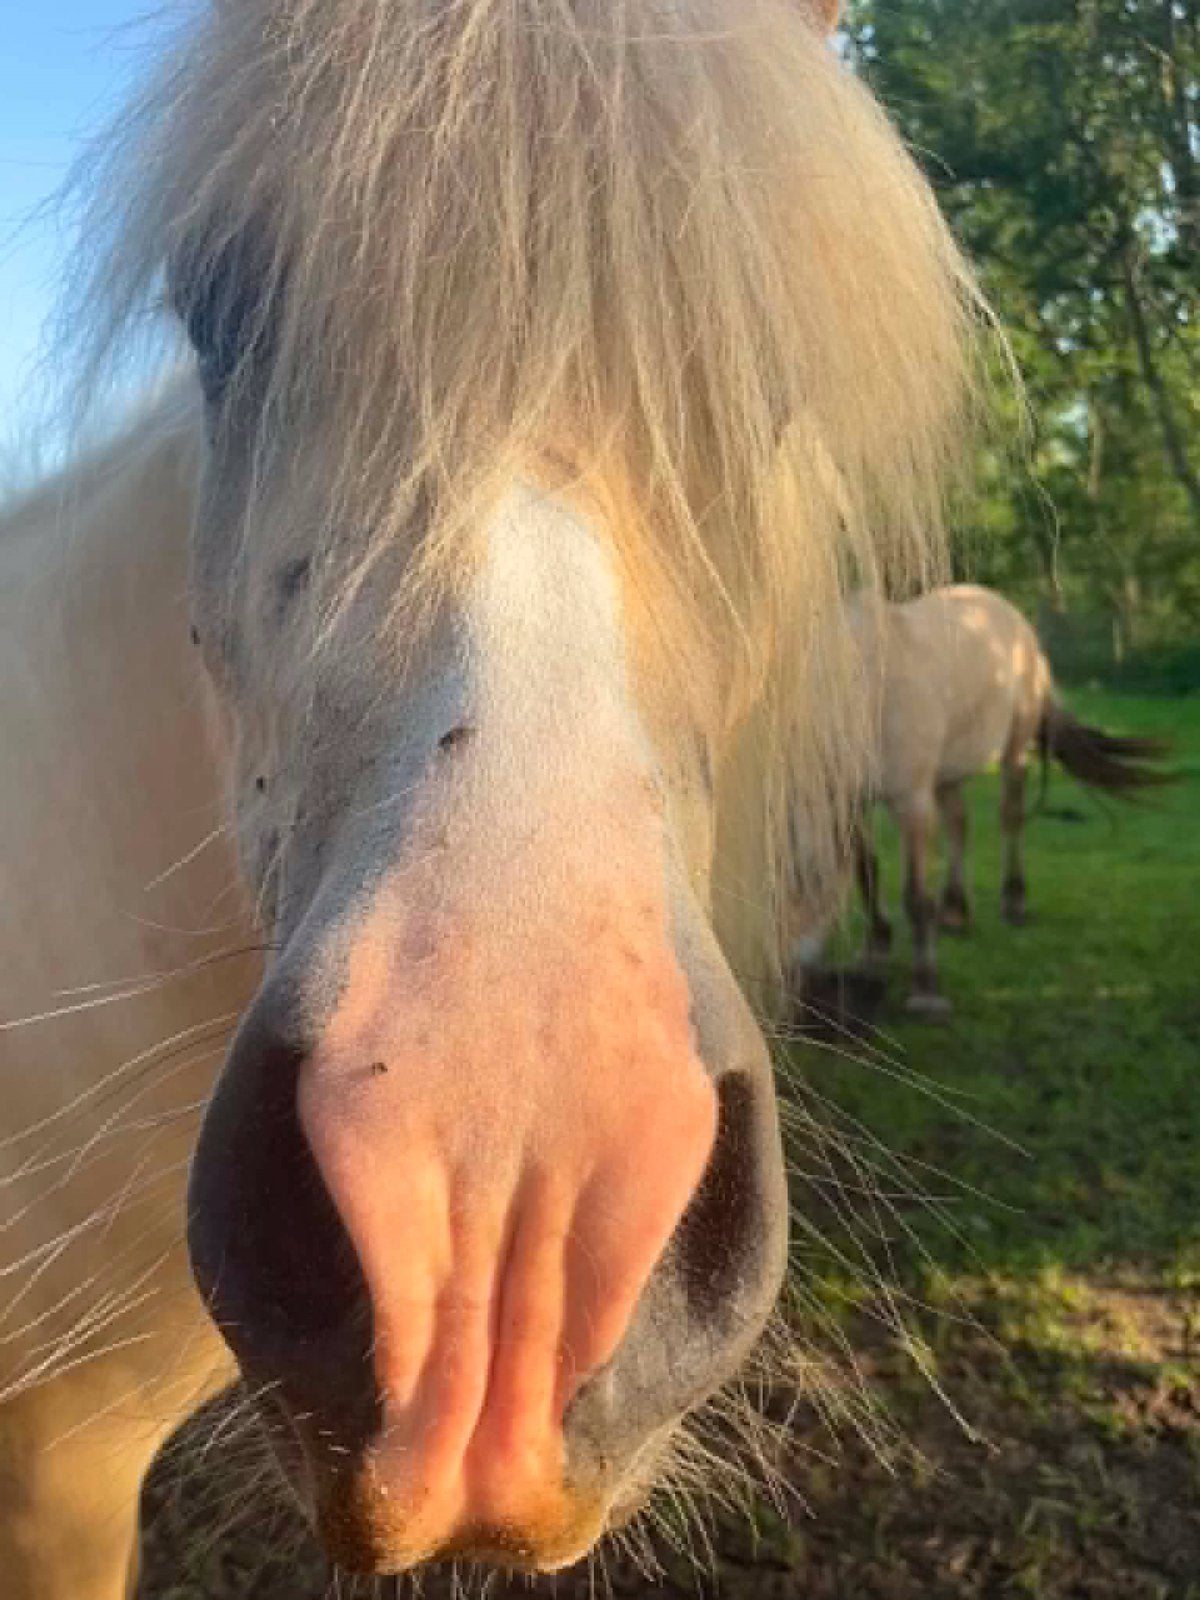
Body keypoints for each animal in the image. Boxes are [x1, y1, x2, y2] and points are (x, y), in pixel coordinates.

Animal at [791, 584, 1169, 1017]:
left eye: (804, 880)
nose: (792, 973)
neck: (866, 693)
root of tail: (1013, 616)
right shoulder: (852, 801)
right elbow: (866, 871)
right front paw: (877, 946)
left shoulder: (911, 801)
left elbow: (915, 895)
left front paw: (926, 991)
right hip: (948, 775)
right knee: (959, 824)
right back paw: (955, 911)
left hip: (1014, 754)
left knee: (1010, 819)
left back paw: (1014, 902)